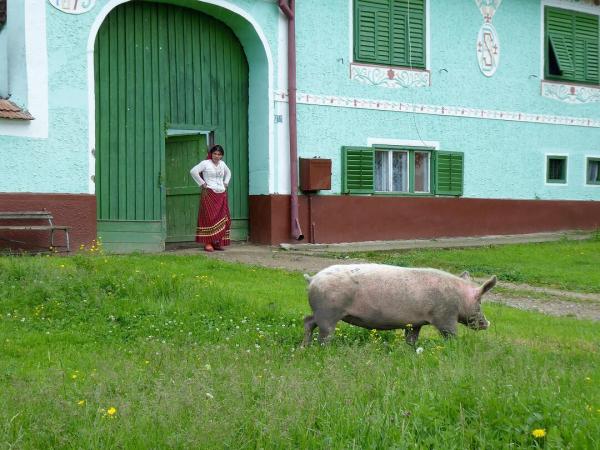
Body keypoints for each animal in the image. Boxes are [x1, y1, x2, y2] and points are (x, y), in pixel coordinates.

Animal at [300, 264, 496, 344]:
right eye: (479, 301)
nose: (487, 323)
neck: (459, 297)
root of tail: (312, 279)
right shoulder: (445, 316)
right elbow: (451, 334)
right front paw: (456, 346)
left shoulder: (415, 323)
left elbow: (411, 339)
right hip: (328, 313)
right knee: (324, 333)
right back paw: (323, 348)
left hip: (319, 312)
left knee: (308, 320)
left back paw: (304, 347)